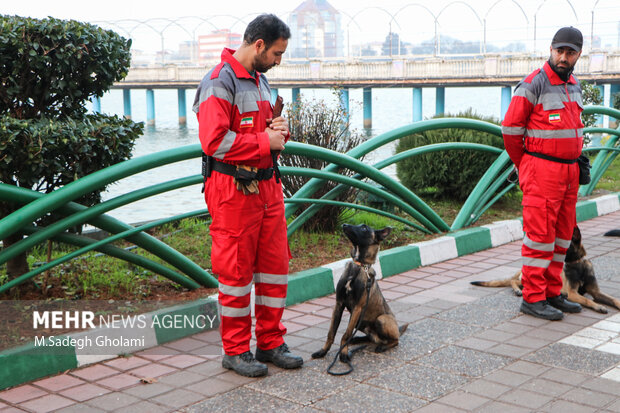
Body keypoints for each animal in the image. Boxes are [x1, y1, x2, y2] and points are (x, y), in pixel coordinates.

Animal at [312, 222, 410, 360]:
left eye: (364, 228)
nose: (344, 224)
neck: (359, 266)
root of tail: (397, 329)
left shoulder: (357, 308)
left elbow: (346, 334)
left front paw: (343, 353)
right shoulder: (339, 304)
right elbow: (331, 333)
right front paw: (323, 351)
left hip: (381, 319)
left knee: (394, 341)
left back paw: (382, 346)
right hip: (362, 323)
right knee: (372, 338)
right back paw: (358, 339)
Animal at [470, 225, 620, 312]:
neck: (578, 264)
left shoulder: (596, 292)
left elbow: (612, 299)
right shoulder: (572, 293)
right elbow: (587, 300)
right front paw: (598, 306)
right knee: (514, 281)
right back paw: (518, 290)